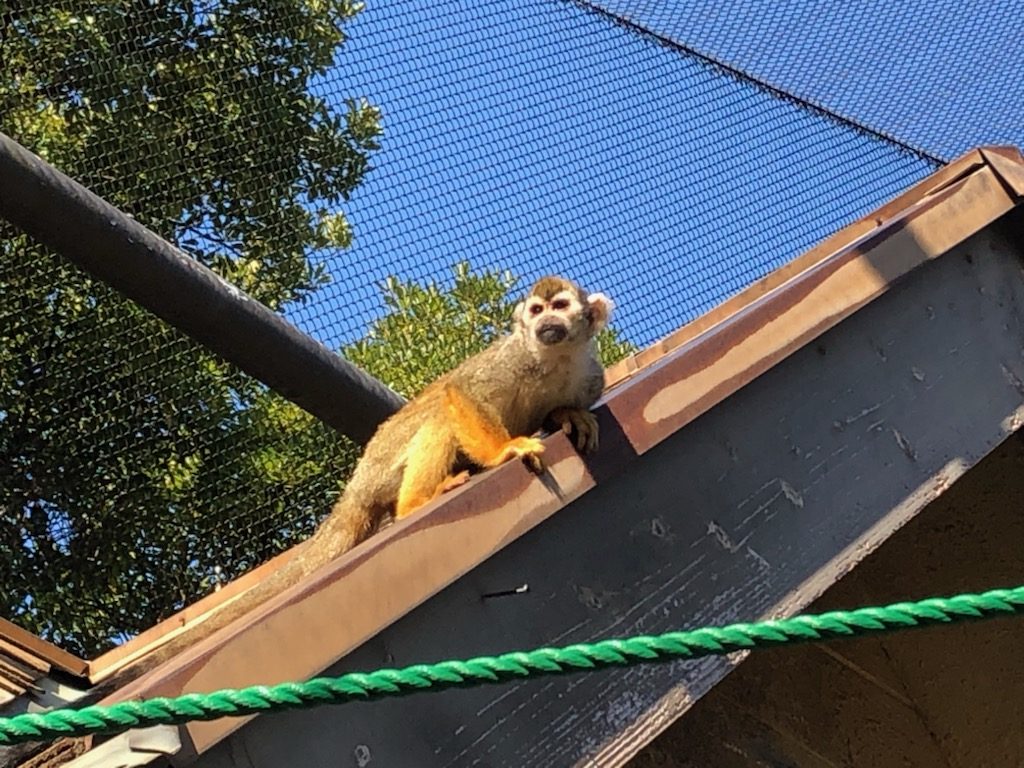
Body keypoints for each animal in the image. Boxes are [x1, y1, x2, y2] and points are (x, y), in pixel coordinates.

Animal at [97, 276, 606, 692]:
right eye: (537, 311)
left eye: (561, 306)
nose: (547, 324)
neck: (555, 358)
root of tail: (355, 487)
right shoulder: (510, 358)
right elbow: (461, 393)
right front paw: (506, 451)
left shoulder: (589, 372)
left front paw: (570, 416)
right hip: (384, 466)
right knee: (439, 412)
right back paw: (418, 501)